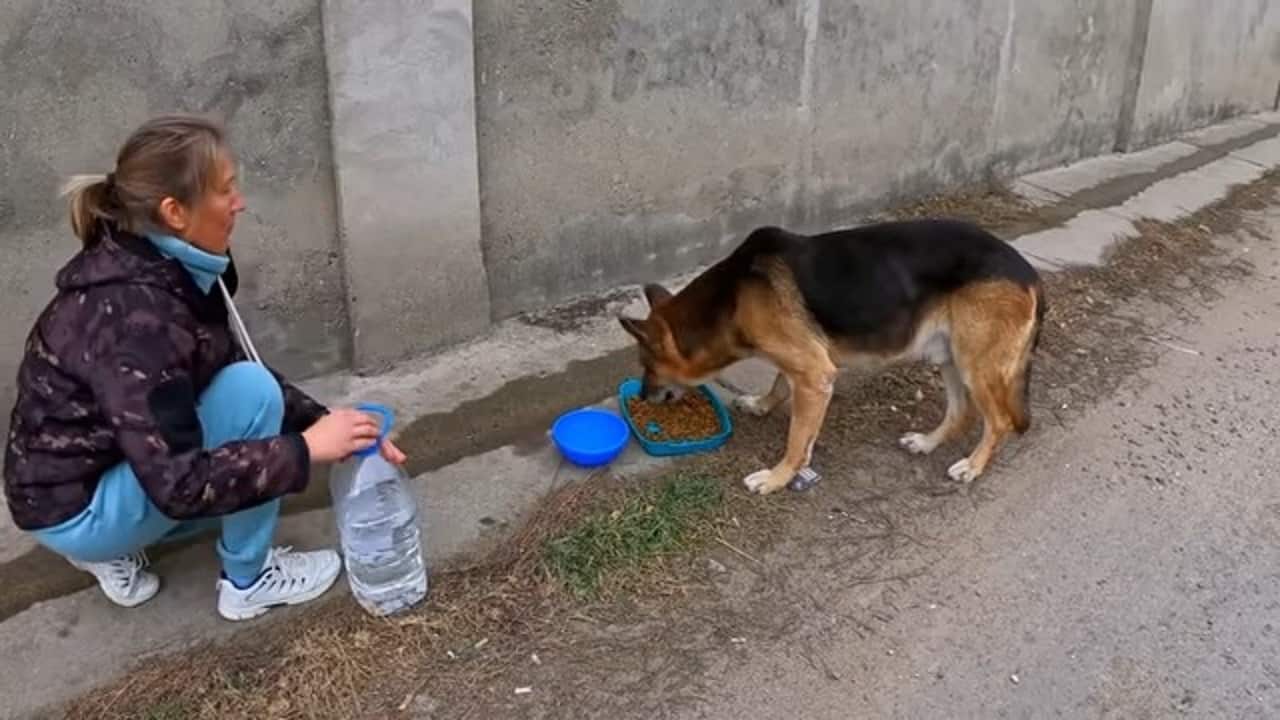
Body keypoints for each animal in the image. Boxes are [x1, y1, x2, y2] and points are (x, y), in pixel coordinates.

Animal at [619, 219, 1049, 491]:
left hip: (976, 365)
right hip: (948, 358)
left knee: (998, 421)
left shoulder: (813, 373)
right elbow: (782, 389)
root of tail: (1029, 274)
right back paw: (926, 443)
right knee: (961, 414)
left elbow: (796, 438)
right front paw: (762, 406)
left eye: (647, 365)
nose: (641, 395)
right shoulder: (806, 369)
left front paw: (776, 478)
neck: (733, 296)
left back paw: (972, 467)